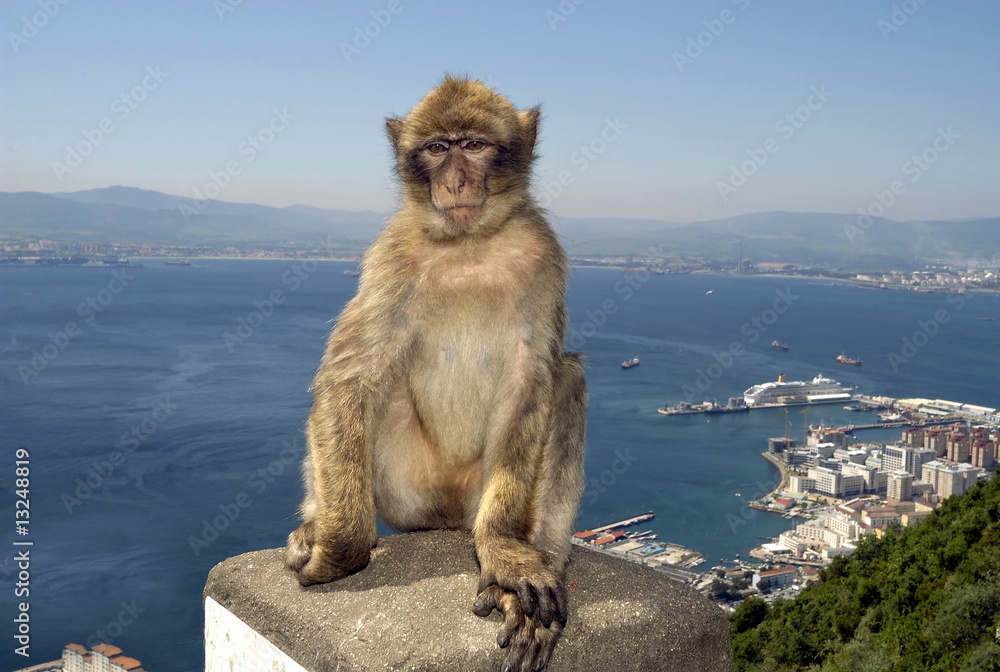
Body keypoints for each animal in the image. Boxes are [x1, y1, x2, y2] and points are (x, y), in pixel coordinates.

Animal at [285, 76, 587, 672]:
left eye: (473, 145)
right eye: (436, 148)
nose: (454, 179)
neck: (467, 242)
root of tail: (445, 518)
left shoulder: (542, 253)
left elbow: (530, 382)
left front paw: (505, 554)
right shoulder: (391, 257)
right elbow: (349, 377)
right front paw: (340, 548)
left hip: (473, 492)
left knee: (566, 378)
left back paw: (535, 558)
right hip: (404, 489)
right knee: (371, 393)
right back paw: (315, 522)